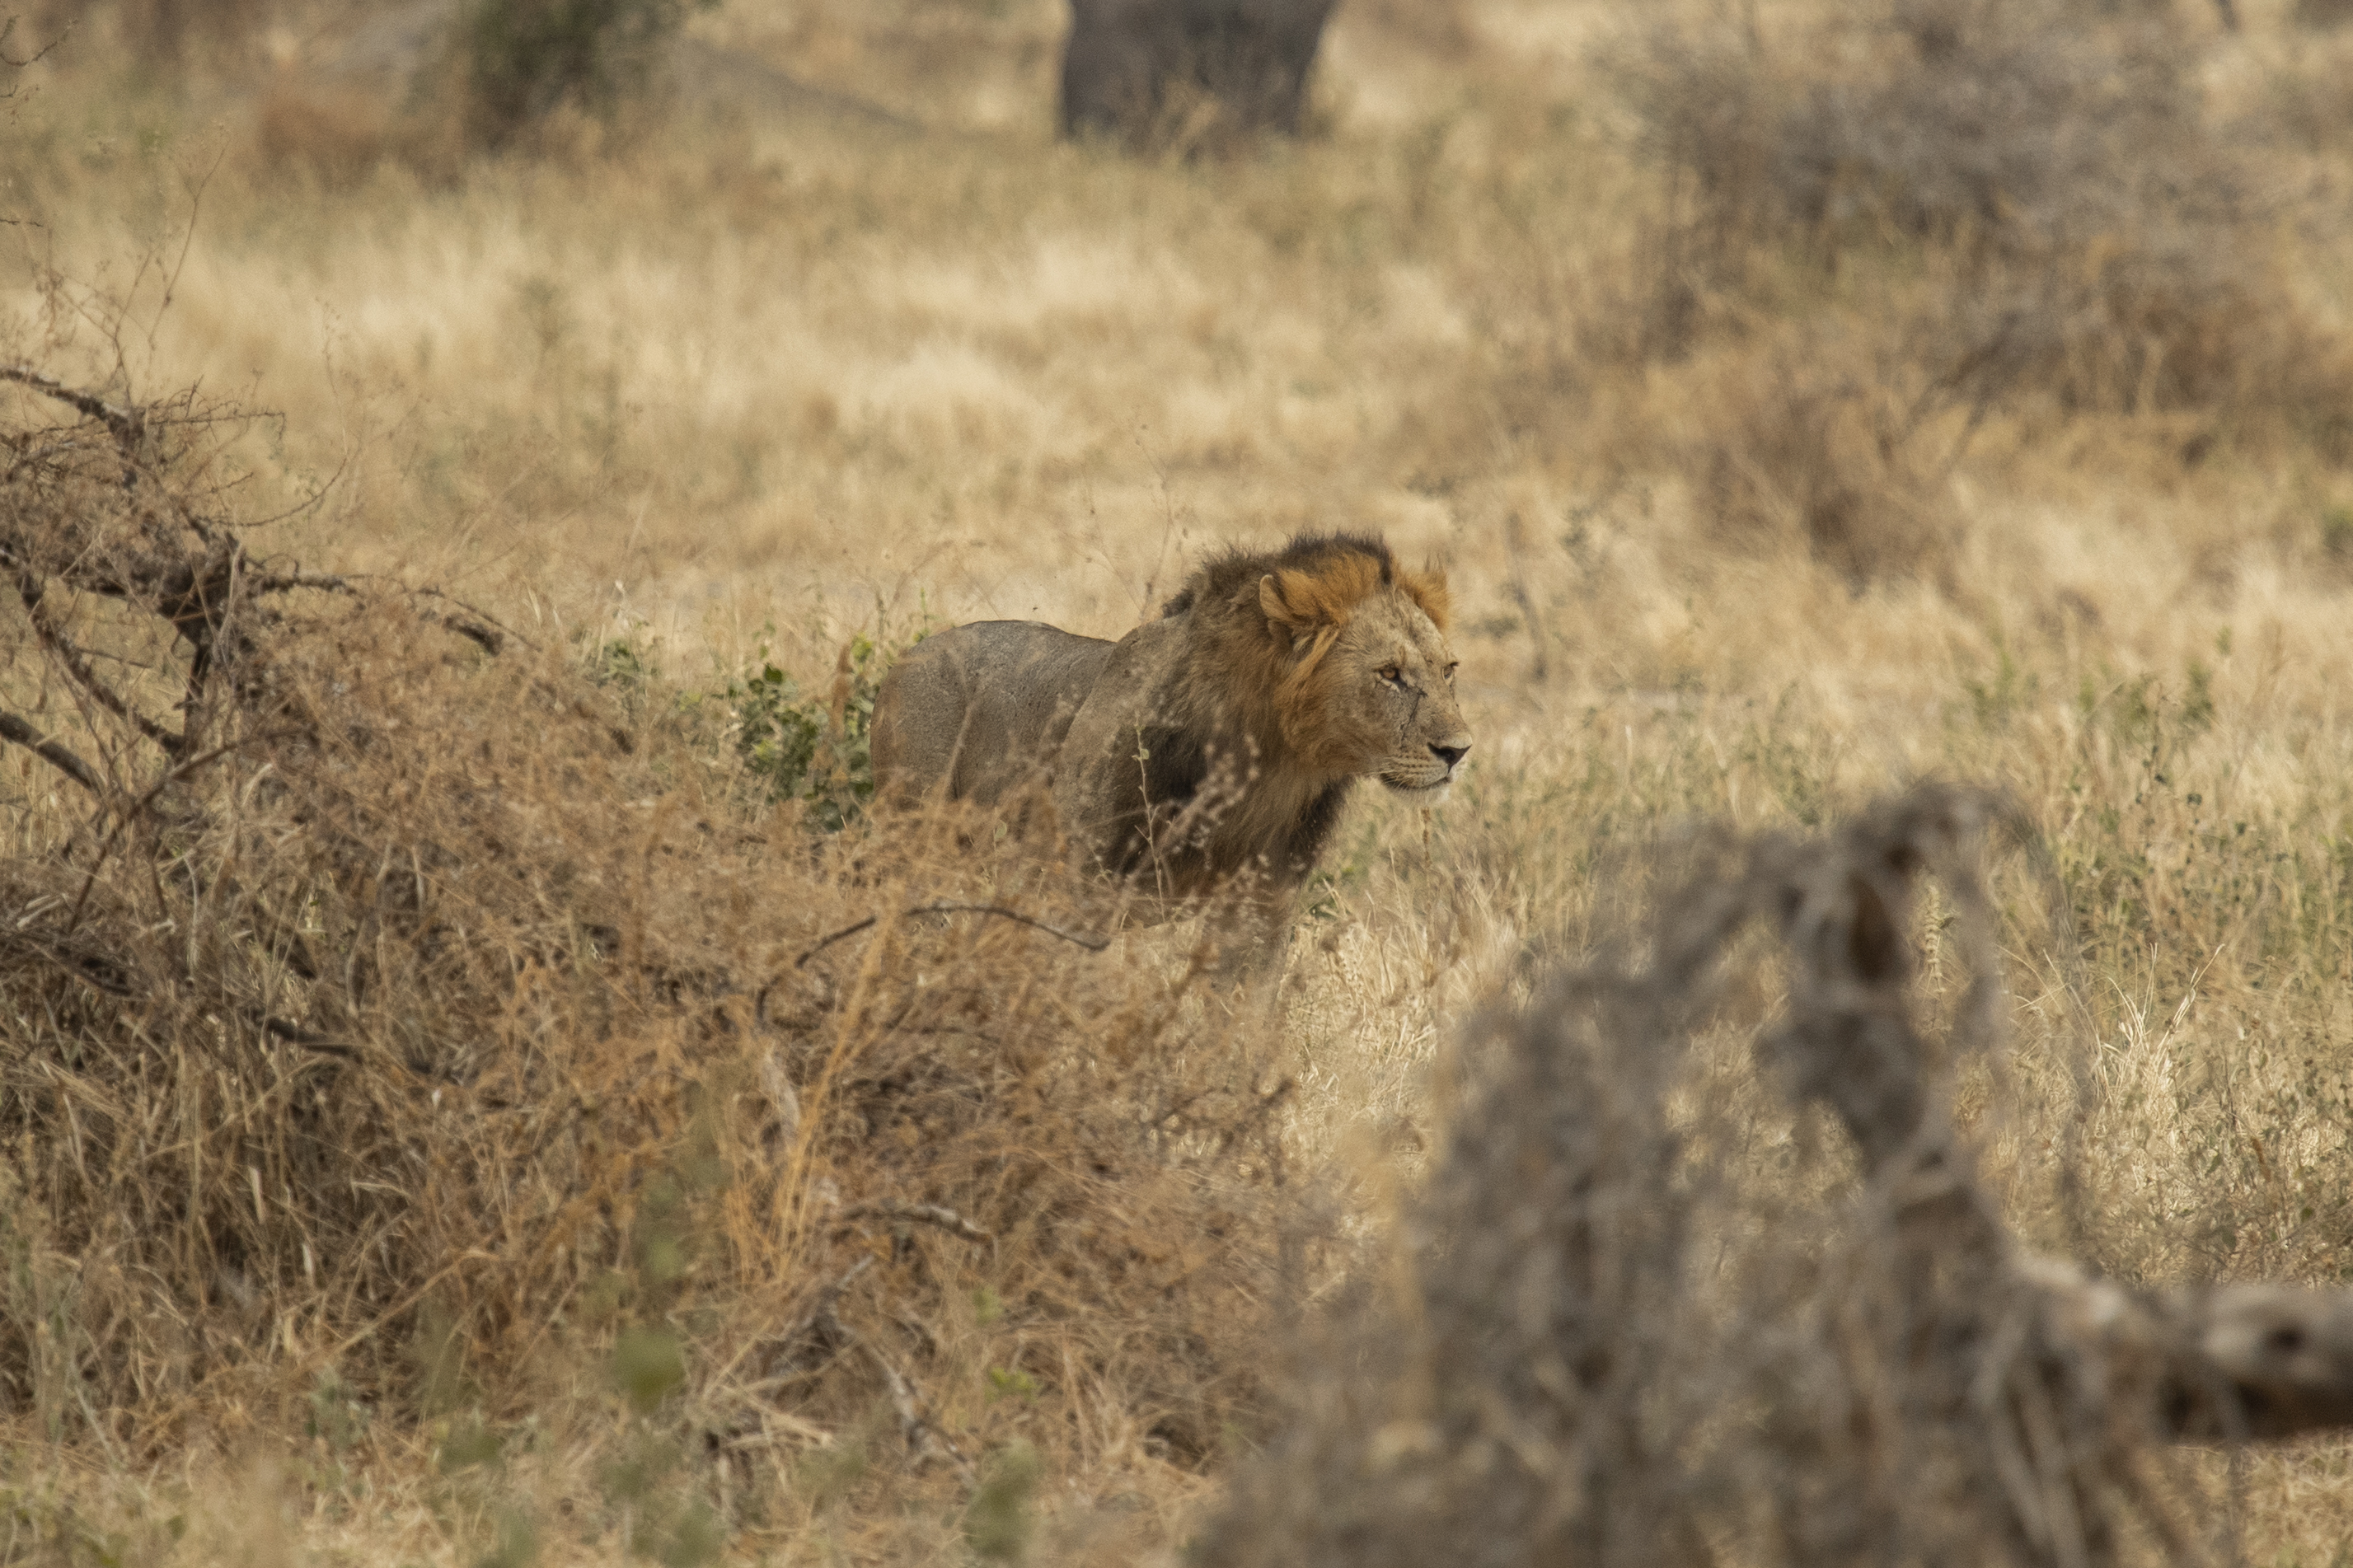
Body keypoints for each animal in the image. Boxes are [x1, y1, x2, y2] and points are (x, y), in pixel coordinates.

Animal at [869, 531, 1472, 969]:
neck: (1273, 767)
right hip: (917, 845)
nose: (1458, 751)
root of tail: (907, 655)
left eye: (1448, 669)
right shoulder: (1081, 893)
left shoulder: (1260, 913)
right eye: (1389, 674)